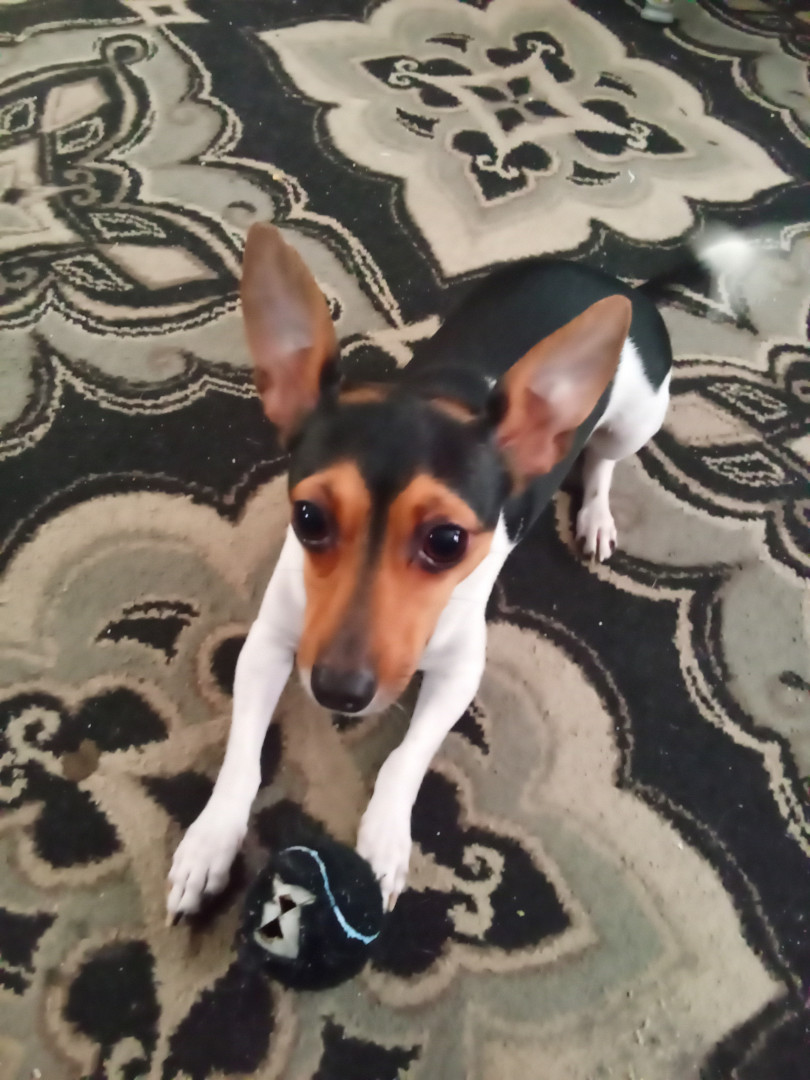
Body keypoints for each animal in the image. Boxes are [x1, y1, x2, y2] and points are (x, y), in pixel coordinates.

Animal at [167, 222, 672, 917]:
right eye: (309, 518)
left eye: (448, 541)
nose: (339, 691)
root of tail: (622, 287)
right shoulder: (268, 644)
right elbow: (242, 754)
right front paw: (211, 839)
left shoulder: (459, 673)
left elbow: (404, 760)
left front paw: (383, 841)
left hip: (636, 419)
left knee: (602, 460)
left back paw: (595, 512)